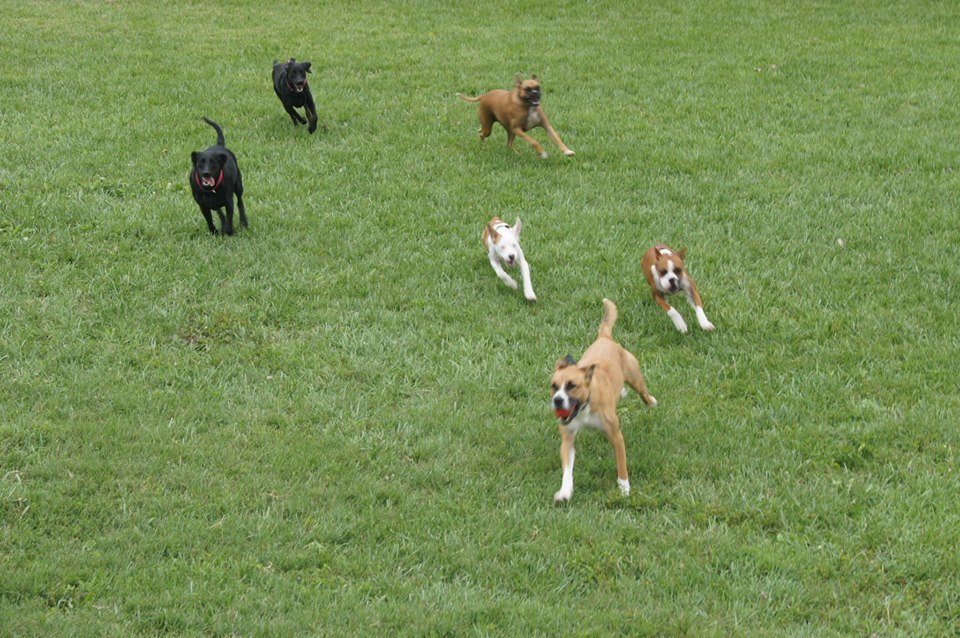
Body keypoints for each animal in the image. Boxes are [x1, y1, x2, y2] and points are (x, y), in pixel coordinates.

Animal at [549, 299, 657, 503]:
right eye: (553, 386)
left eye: (571, 385)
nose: (557, 400)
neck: (584, 407)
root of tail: (605, 338)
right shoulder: (568, 437)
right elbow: (567, 468)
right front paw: (565, 491)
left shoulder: (615, 436)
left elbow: (621, 466)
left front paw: (624, 490)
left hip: (635, 377)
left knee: (643, 393)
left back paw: (651, 401)